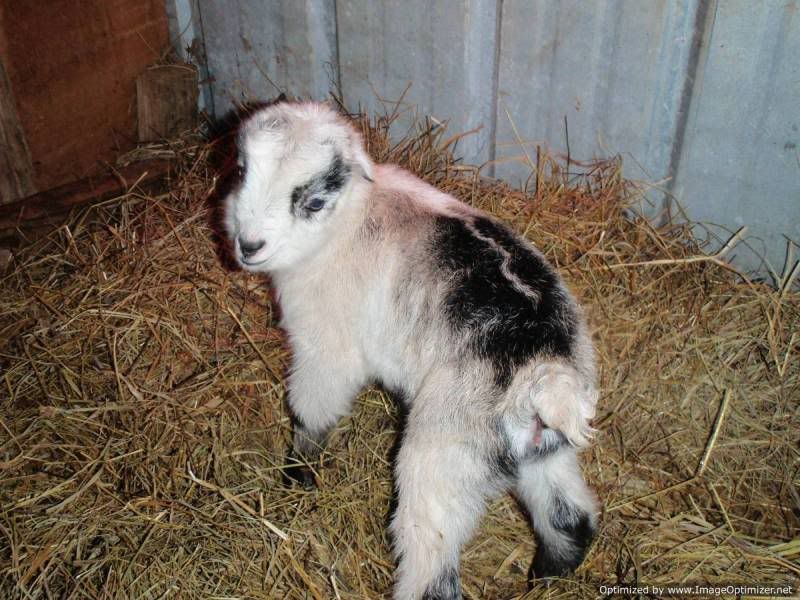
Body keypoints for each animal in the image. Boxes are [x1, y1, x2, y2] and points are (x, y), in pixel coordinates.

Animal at [223, 101, 599, 600]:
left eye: (314, 201)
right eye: (241, 171)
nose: (249, 246)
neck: (350, 220)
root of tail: (549, 376)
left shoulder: (327, 348)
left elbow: (311, 411)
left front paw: (298, 476)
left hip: (445, 452)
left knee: (433, 565)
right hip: (540, 451)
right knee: (570, 515)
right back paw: (545, 576)